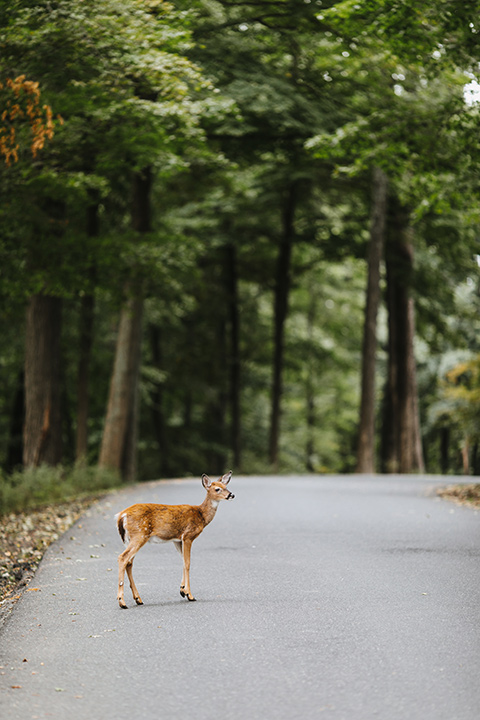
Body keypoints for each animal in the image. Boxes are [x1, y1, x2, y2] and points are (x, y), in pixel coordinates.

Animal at [115, 472, 234, 608]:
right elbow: (187, 563)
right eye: (217, 489)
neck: (201, 516)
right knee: (123, 558)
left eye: (226, 486)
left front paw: (182, 590)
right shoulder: (188, 536)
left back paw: (138, 599)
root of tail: (121, 516)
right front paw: (190, 595)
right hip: (139, 535)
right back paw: (122, 602)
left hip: (130, 539)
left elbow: (182, 561)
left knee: (129, 563)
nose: (231, 495)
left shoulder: (177, 540)